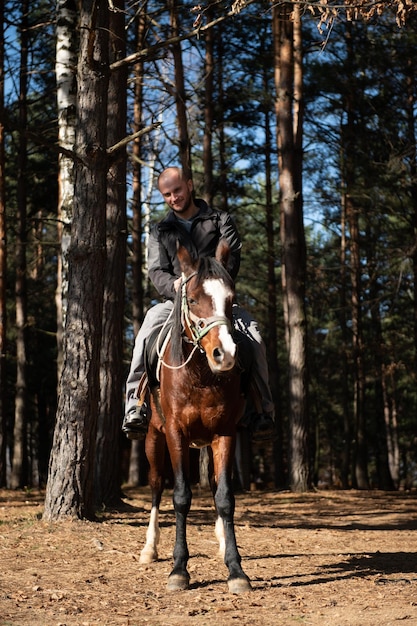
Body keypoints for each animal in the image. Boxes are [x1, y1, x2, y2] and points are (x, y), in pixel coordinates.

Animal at [139, 236, 250, 592]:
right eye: (192, 298)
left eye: (231, 299)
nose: (224, 354)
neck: (199, 375)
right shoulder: (176, 433)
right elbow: (181, 496)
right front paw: (178, 569)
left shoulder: (225, 433)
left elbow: (225, 497)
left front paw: (236, 569)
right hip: (153, 439)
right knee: (156, 485)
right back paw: (150, 548)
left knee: (215, 484)